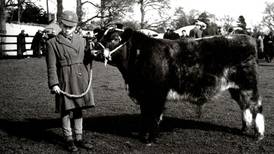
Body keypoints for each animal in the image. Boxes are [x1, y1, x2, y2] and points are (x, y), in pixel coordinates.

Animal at [93, 28, 264, 144]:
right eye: (100, 36)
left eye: (115, 38)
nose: (94, 51)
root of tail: (246, 38)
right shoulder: (144, 95)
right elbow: (145, 115)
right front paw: (142, 136)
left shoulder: (157, 94)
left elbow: (154, 116)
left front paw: (150, 139)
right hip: (236, 88)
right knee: (244, 106)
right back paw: (244, 128)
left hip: (248, 85)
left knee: (256, 107)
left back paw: (259, 134)